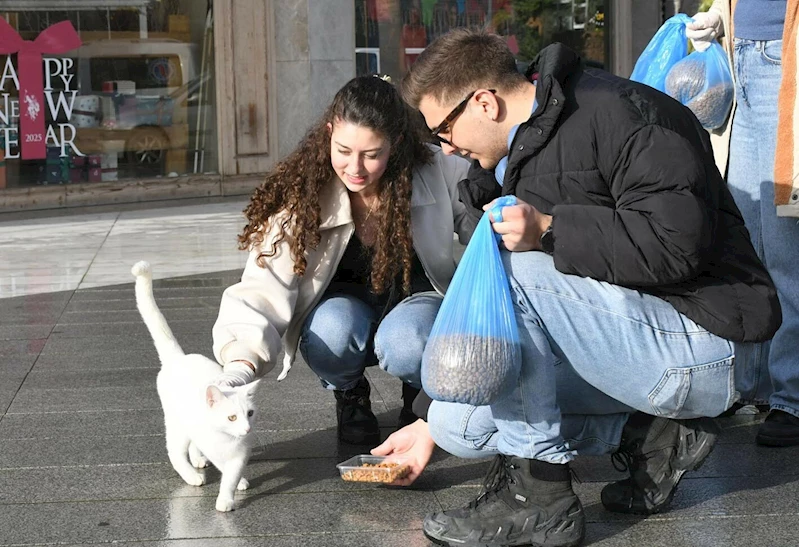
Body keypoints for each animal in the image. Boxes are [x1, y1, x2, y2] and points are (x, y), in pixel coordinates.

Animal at [130, 262, 258, 512]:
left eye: (250, 413)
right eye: (231, 417)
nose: (247, 429)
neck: (225, 439)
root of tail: (178, 358)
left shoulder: (240, 454)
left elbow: (231, 474)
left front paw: (232, 489)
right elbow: (224, 469)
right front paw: (226, 498)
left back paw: (198, 459)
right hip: (176, 424)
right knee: (175, 452)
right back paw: (192, 476)